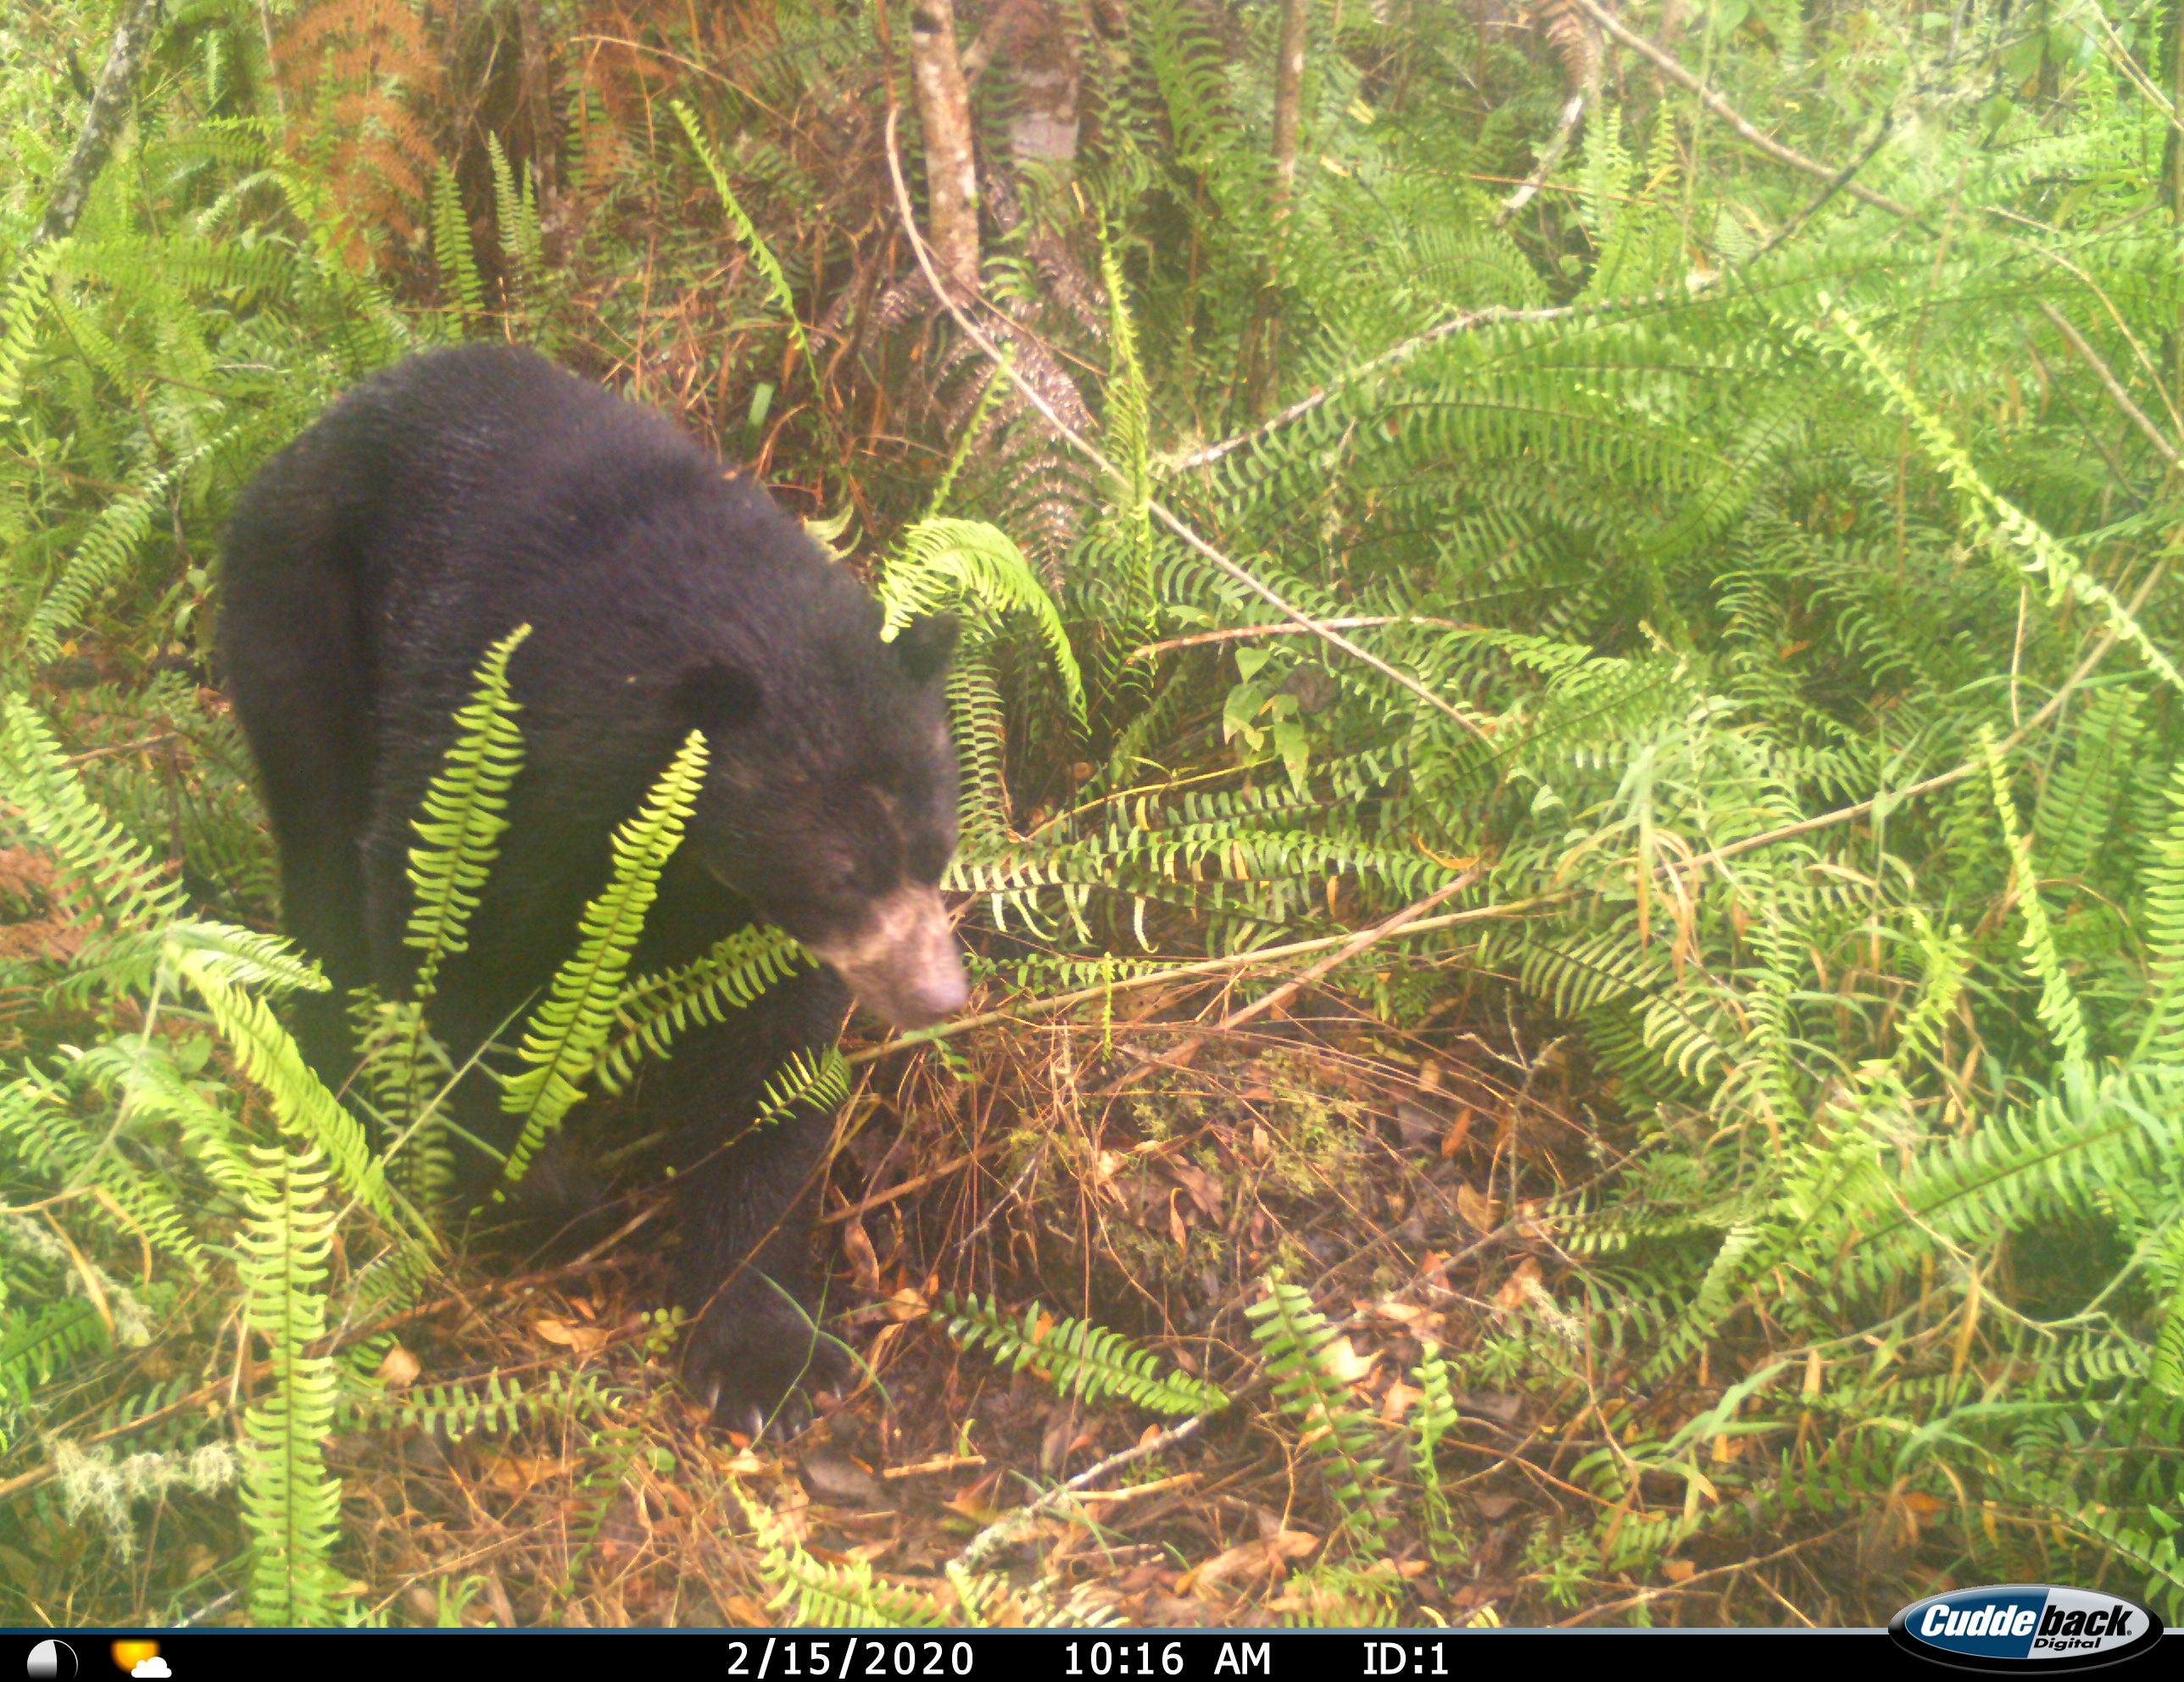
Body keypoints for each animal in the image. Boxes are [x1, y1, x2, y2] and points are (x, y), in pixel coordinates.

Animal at [217, 343, 967, 1423]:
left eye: (938, 849)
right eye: (842, 873)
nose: (939, 994)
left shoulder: (748, 917)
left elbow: (768, 1072)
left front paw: (765, 1354)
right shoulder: (497, 759)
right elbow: (445, 944)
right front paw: (545, 1200)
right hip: (297, 618)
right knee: (320, 846)